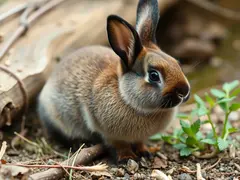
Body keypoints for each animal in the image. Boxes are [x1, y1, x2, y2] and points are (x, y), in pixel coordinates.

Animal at [37, 0, 190, 162]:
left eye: (177, 63)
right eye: (154, 75)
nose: (184, 92)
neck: (125, 96)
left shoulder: (138, 137)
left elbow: (140, 142)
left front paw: (145, 152)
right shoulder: (111, 136)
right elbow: (120, 146)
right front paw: (127, 158)